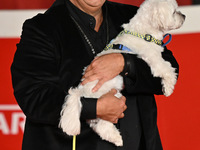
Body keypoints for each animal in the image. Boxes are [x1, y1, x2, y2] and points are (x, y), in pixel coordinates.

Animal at [58, 0, 185, 146]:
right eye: (174, 12)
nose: (184, 16)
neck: (144, 33)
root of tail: (81, 92)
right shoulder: (153, 58)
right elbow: (167, 69)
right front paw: (169, 88)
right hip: (110, 100)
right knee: (103, 125)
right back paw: (117, 138)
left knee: (98, 126)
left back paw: (115, 138)